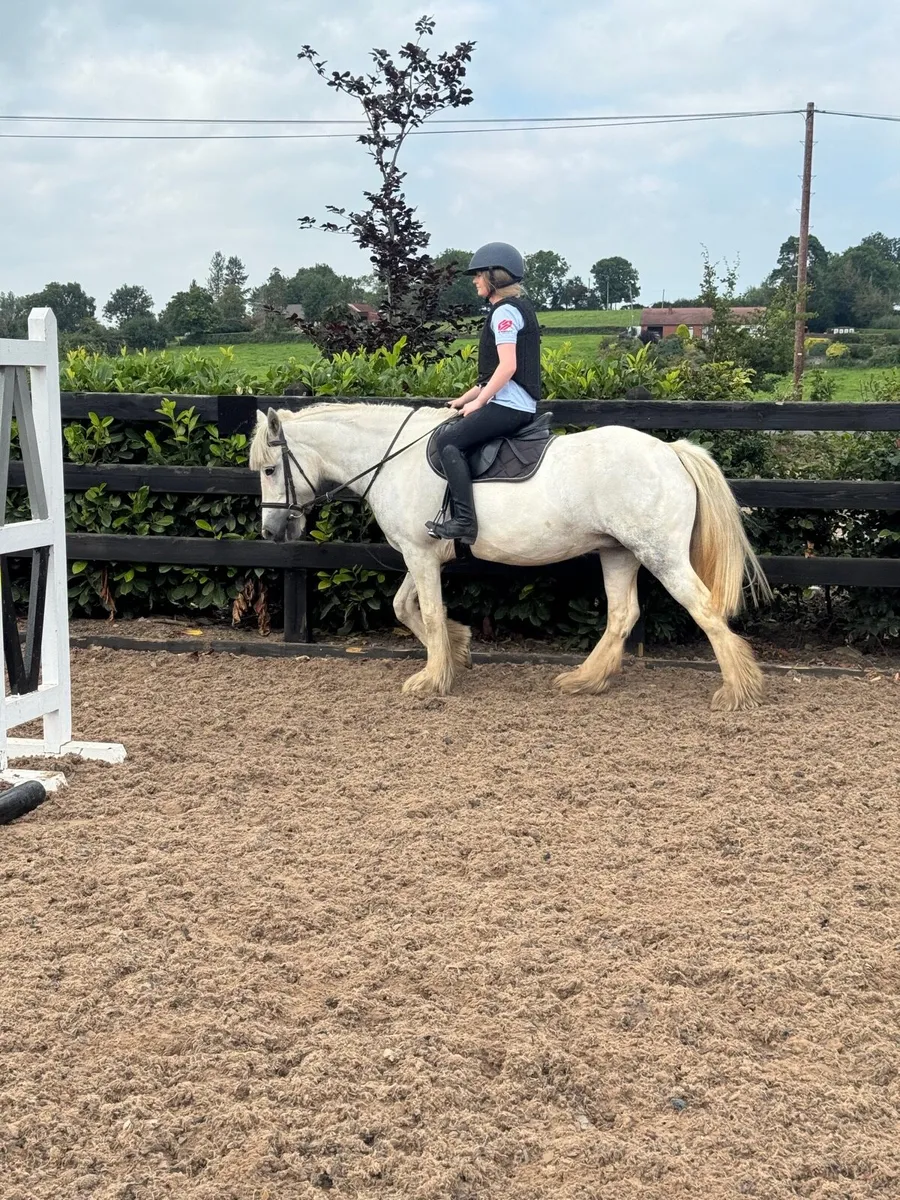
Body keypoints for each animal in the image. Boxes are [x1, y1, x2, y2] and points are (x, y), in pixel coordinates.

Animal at [251, 403, 772, 710]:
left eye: (271, 469)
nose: (271, 531)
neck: (394, 458)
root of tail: (669, 451)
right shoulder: (423, 554)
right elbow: (405, 607)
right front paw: (458, 650)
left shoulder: (421, 555)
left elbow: (430, 612)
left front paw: (432, 679)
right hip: (619, 552)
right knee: (624, 614)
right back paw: (585, 680)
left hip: (659, 553)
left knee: (703, 608)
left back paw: (737, 690)